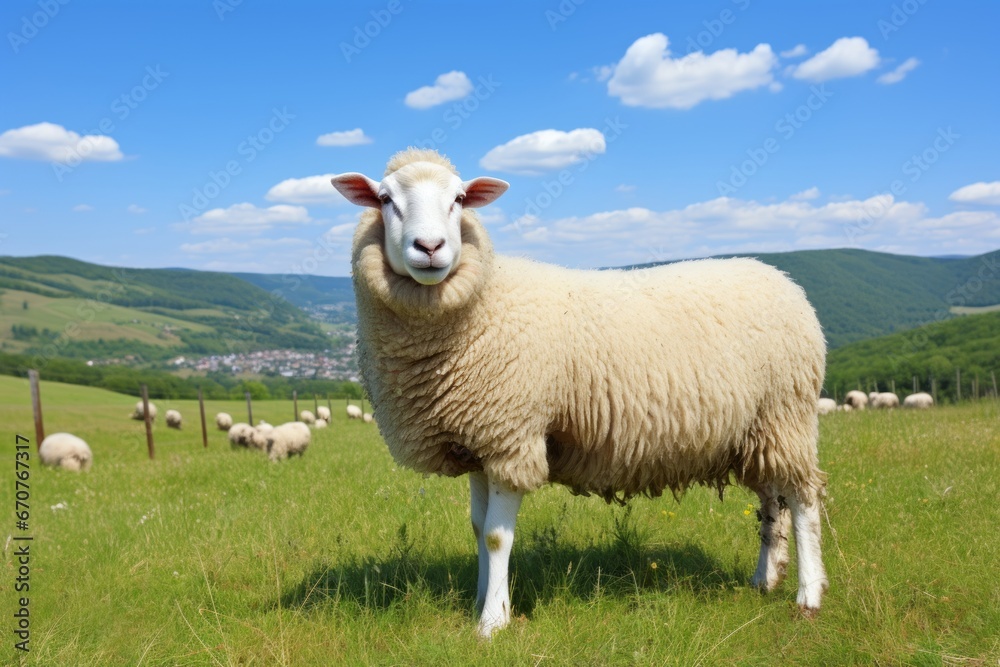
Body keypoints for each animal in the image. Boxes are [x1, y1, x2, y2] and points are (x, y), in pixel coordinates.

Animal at [331, 148, 830, 637]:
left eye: (458, 199)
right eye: (385, 199)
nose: (431, 248)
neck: (483, 303)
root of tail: (785, 281)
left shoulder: (512, 436)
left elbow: (496, 536)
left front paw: (493, 622)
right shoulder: (478, 440)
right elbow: (476, 528)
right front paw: (480, 601)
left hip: (789, 414)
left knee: (803, 500)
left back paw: (808, 596)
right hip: (759, 430)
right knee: (772, 502)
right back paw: (765, 579)